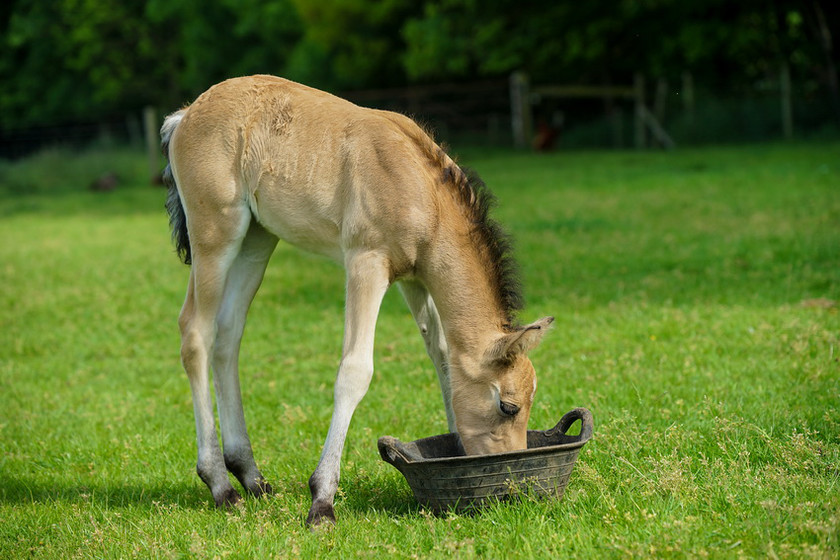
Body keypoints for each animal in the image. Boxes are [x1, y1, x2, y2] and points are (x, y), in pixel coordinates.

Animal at [161, 75, 556, 524]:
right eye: (508, 406)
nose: (511, 480)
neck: (422, 188)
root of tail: (185, 114)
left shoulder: (414, 279)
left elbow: (441, 357)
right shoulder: (367, 263)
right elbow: (355, 370)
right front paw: (322, 500)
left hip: (257, 240)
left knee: (228, 336)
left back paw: (251, 476)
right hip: (215, 235)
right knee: (196, 333)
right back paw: (220, 484)